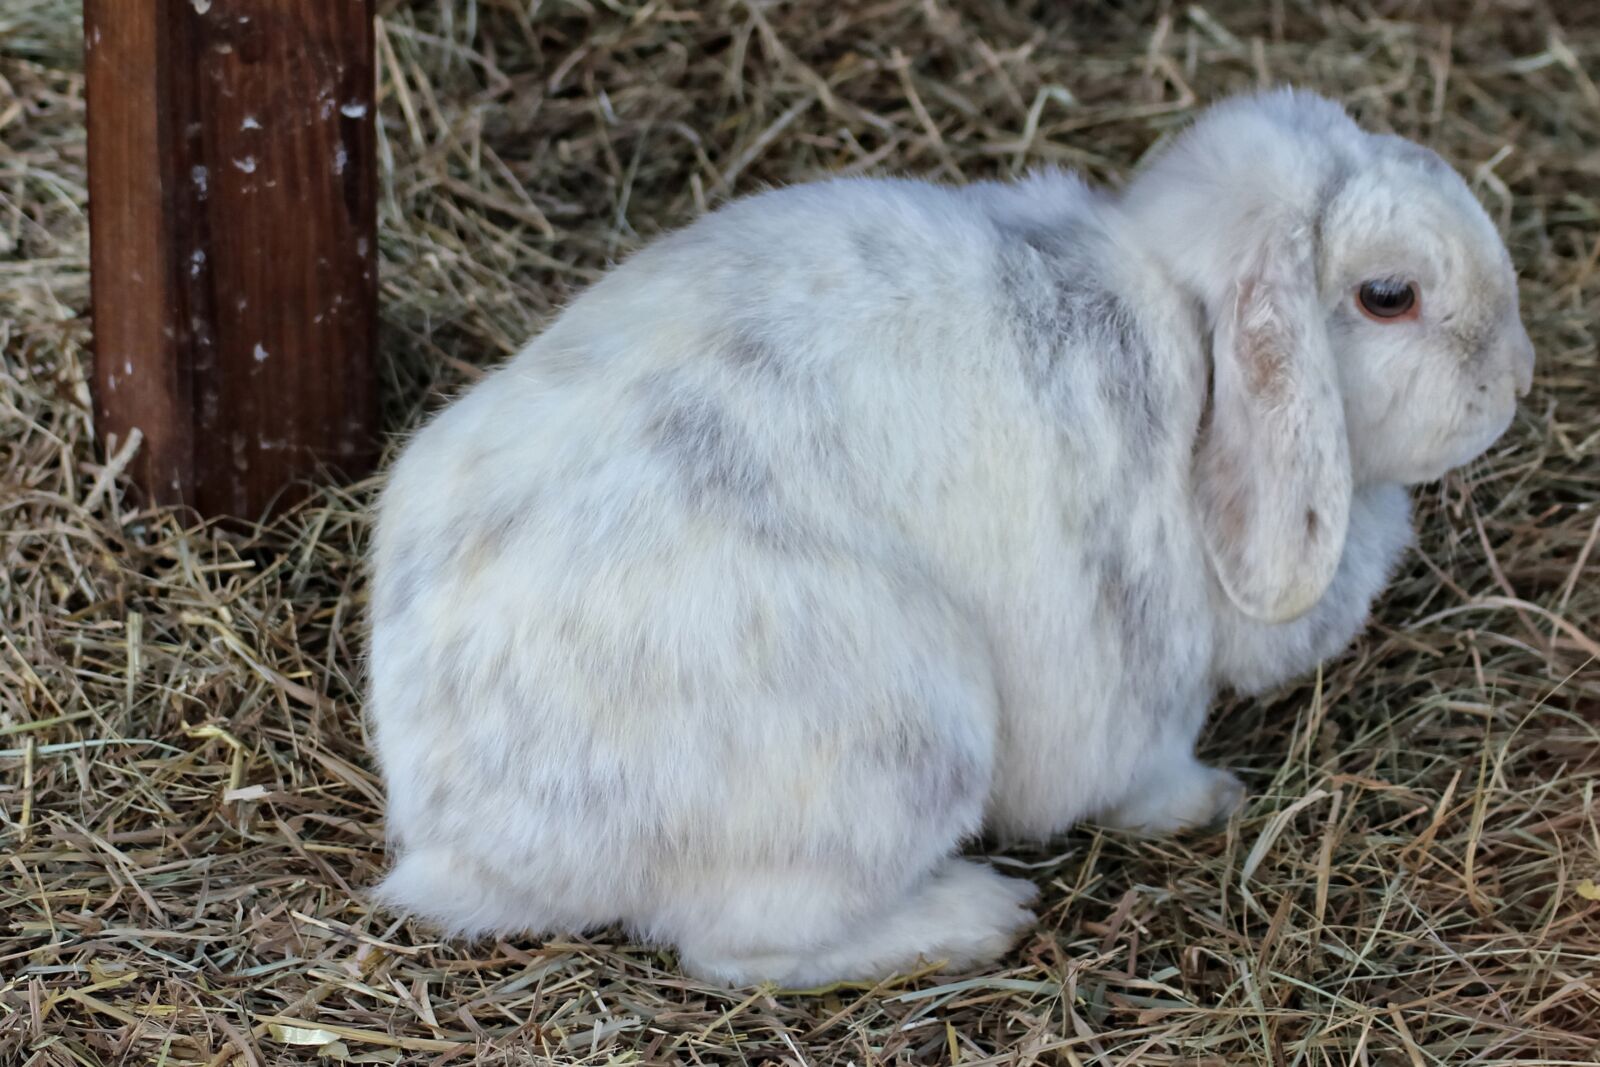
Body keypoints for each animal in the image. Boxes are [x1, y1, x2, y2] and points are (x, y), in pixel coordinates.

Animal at [366, 88, 1534, 987]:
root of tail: (461, 828)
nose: (1515, 376)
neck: (1187, 332)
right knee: (742, 945)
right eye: (1388, 296)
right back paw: (977, 914)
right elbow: (1146, 770)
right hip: (902, 733)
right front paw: (1207, 802)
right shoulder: (1138, 678)